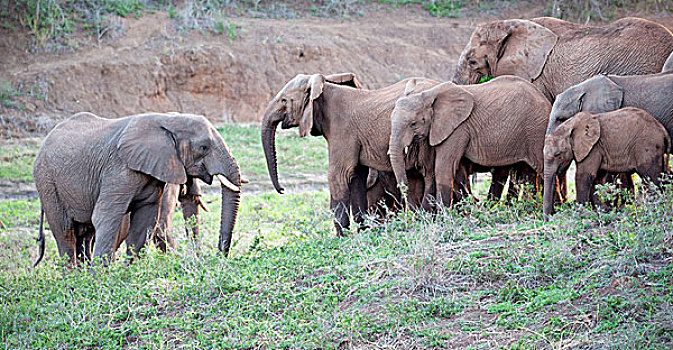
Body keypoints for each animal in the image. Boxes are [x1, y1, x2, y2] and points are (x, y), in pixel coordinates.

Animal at [33, 112, 244, 268]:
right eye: (204, 147)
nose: (219, 256)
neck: (168, 120)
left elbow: (146, 218)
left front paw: (130, 271)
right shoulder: (119, 169)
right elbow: (106, 216)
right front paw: (99, 277)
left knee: (84, 232)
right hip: (47, 182)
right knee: (64, 230)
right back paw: (73, 277)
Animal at [260, 72, 438, 235]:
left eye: (283, 100)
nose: (282, 190)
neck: (323, 88)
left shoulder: (342, 129)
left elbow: (338, 175)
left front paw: (341, 238)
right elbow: (357, 176)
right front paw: (362, 233)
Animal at [388, 75, 552, 206]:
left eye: (413, 124)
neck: (429, 94)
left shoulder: (457, 129)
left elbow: (443, 168)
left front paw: (444, 214)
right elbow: (457, 169)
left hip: (536, 129)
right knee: (528, 172)